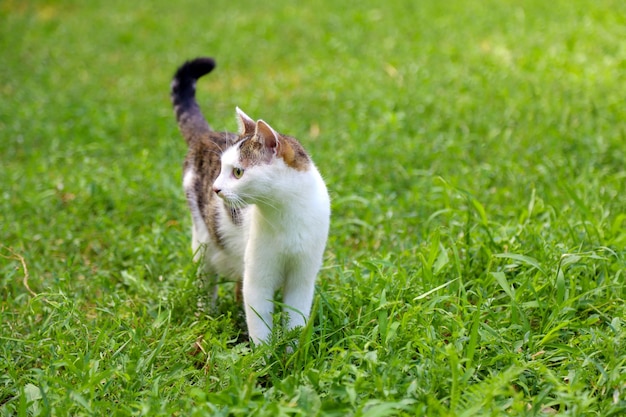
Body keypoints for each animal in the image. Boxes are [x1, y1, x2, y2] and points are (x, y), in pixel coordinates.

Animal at [168, 57, 330, 344]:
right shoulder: (258, 279)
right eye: (222, 168)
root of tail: (204, 135)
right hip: (203, 243)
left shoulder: (302, 277)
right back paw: (204, 317)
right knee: (206, 283)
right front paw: (264, 355)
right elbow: (260, 326)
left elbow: (295, 322)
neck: (287, 214)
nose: (215, 189)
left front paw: (293, 350)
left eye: (238, 172)